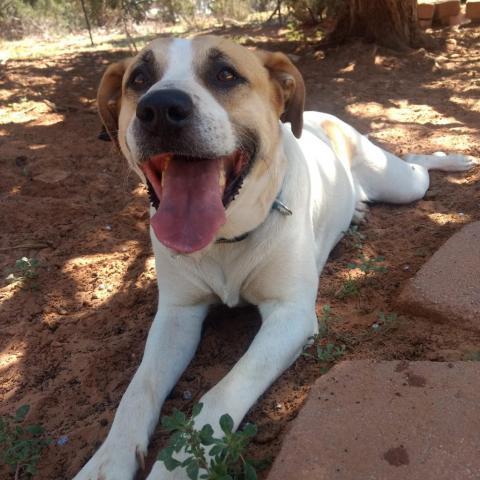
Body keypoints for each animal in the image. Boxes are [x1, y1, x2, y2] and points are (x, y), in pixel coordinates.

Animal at [74, 34, 472, 480]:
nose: (159, 108)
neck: (225, 239)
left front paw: (183, 463)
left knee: (417, 166)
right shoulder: (177, 313)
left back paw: (452, 160)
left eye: (225, 74)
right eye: (139, 79)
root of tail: (322, 116)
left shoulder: (290, 315)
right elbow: (138, 389)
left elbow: (227, 386)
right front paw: (107, 461)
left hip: (400, 183)